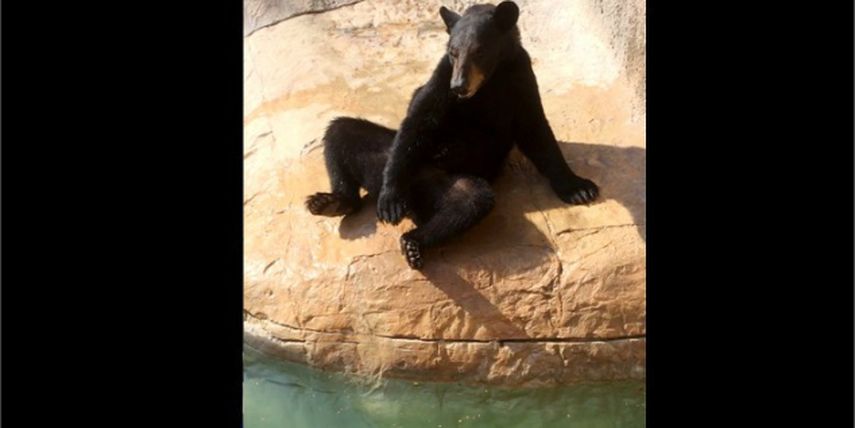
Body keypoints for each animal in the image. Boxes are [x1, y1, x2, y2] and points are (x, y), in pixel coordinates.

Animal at [305, 1, 599, 269]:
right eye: (452, 52)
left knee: (470, 199)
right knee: (342, 131)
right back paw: (332, 201)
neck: (489, 81)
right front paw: (390, 200)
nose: (459, 86)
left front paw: (580, 189)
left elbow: (535, 128)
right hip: (385, 152)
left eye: (479, 51)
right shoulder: (441, 76)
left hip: (440, 183)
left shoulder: (520, 75)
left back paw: (412, 242)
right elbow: (419, 118)